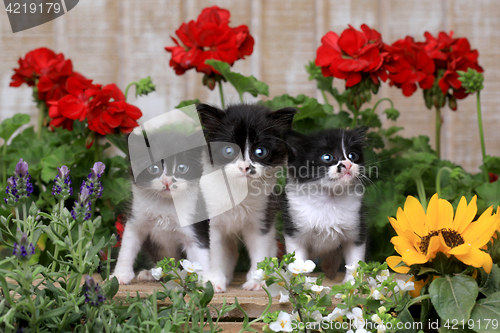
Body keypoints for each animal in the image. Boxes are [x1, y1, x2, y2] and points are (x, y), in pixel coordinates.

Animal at [111, 128, 209, 284]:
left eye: (182, 168)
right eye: (153, 168)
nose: (167, 181)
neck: (165, 205)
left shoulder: (195, 225)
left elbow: (200, 255)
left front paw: (207, 282)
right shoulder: (136, 219)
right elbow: (127, 248)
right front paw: (120, 275)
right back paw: (152, 274)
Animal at [195, 103, 296, 290]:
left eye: (260, 151)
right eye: (228, 150)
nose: (245, 167)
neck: (239, 190)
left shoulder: (262, 218)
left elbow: (260, 250)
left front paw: (257, 281)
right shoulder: (213, 222)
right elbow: (215, 252)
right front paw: (214, 281)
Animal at [284, 127, 370, 280]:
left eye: (352, 155)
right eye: (327, 157)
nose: (348, 164)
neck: (329, 198)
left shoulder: (356, 229)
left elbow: (354, 262)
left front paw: (351, 284)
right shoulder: (294, 231)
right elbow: (297, 261)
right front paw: (299, 283)